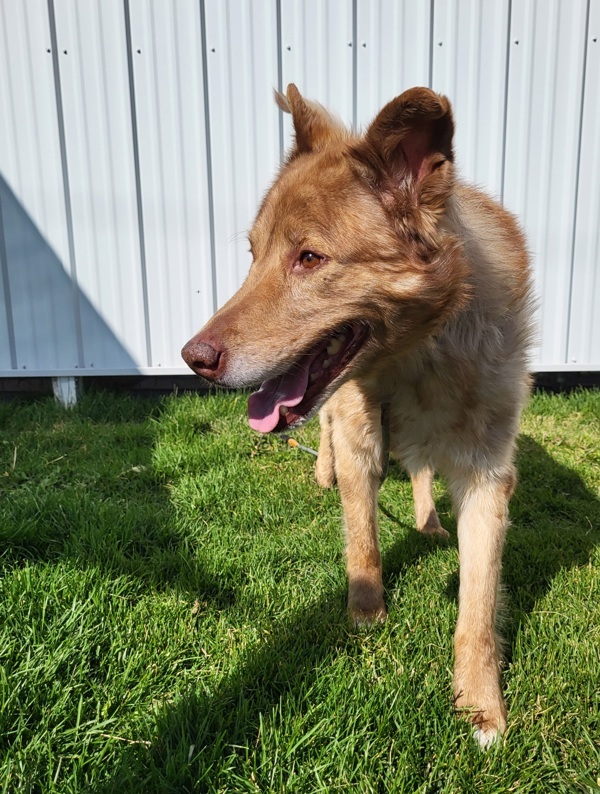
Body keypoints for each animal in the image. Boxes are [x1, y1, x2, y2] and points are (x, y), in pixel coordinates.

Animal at [183, 85, 536, 744]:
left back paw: (427, 518)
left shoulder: (487, 474)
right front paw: (366, 614)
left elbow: (478, 603)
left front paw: (481, 706)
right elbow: (362, 538)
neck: (417, 355)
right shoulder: (358, 433)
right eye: (254, 254)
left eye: (309, 258)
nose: (193, 359)